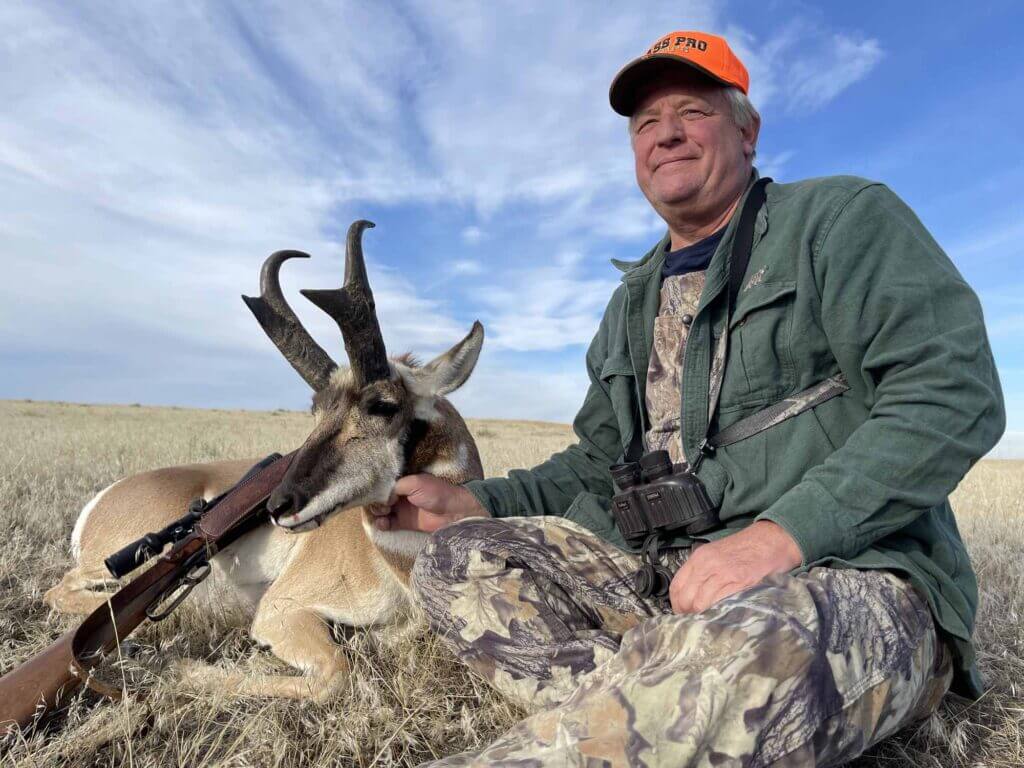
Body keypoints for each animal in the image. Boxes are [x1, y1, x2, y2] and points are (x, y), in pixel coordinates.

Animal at [43, 221, 485, 700]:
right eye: (316, 407)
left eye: (383, 405)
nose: (278, 505)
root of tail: (102, 499)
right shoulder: (280, 610)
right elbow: (336, 672)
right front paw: (183, 669)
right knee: (66, 591)